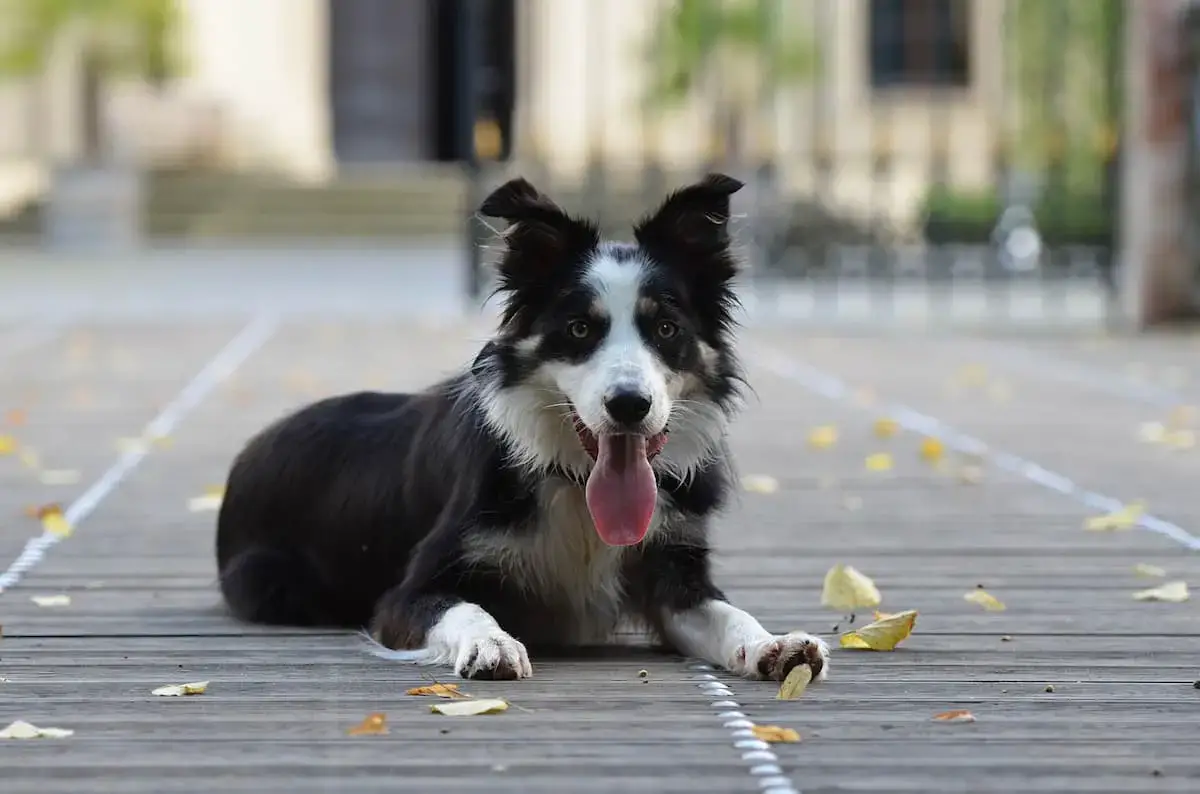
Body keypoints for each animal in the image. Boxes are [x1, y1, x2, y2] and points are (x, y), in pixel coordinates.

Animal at [216, 173, 830, 686]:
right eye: (579, 329)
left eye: (666, 328)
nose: (629, 405)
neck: (576, 487)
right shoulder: (408, 592)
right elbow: (465, 607)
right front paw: (491, 644)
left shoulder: (676, 571)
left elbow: (728, 612)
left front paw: (773, 644)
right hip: (272, 581)